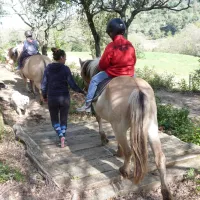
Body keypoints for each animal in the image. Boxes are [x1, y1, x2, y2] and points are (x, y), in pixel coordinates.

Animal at [79, 58, 173, 200]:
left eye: (82, 74)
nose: (84, 88)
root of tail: (138, 89)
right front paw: (118, 150)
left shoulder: (109, 120)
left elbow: (99, 121)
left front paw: (104, 139)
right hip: (151, 128)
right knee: (160, 158)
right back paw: (166, 192)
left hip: (121, 127)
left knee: (129, 151)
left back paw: (124, 170)